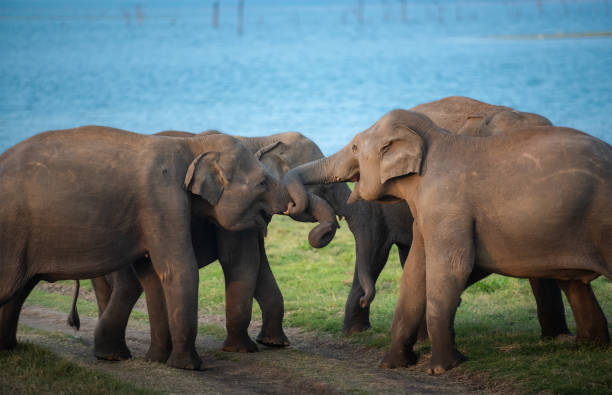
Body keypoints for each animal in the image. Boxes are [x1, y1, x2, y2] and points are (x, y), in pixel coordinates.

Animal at [0, 127, 290, 372]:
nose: (288, 202)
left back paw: (13, 349)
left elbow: (153, 273)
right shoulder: (162, 198)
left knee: (19, 289)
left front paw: (158, 360)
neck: (192, 145)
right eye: (263, 182)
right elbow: (179, 269)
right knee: (11, 287)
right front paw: (190, 367)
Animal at [77, 131, 340, 366]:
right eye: (324, 187)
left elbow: (259, 267)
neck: (258, 138)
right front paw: (242, 350)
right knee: (129, 285)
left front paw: (273, 343)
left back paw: (112, 353)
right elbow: (242, 262)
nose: (327, 229)